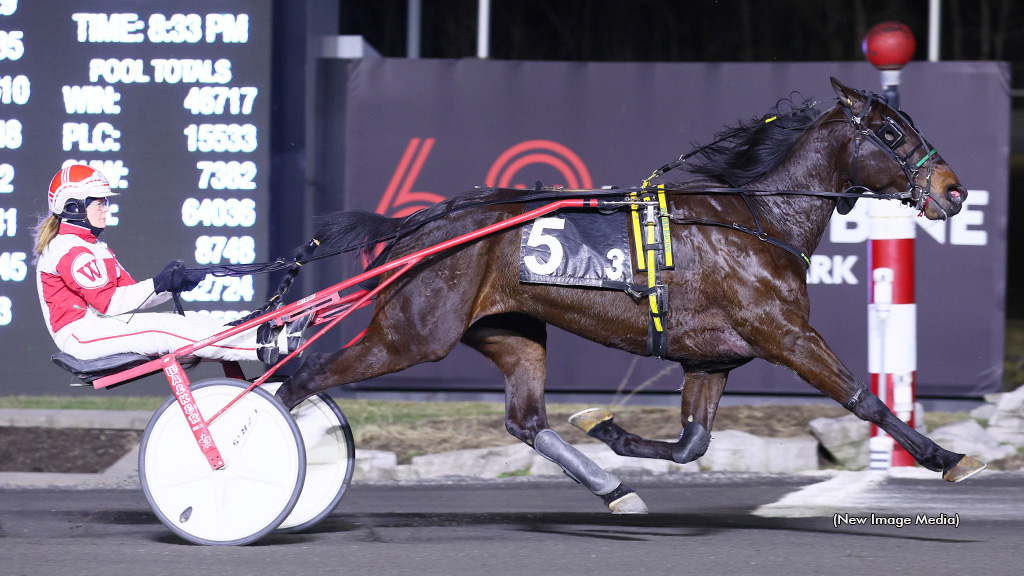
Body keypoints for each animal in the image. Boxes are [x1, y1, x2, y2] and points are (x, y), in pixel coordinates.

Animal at [274, 77, 983, 510]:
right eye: (891, 133)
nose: (954, 191)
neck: (760, 218)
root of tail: (418, 225)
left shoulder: (711, 356)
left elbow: (693, 443)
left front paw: (606, 426)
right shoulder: (783, 332)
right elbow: (863, 396)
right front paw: (946, 456)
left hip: (510, 331)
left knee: (526, 421)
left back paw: (614, 488)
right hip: (413, 335)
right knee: (300, 377)